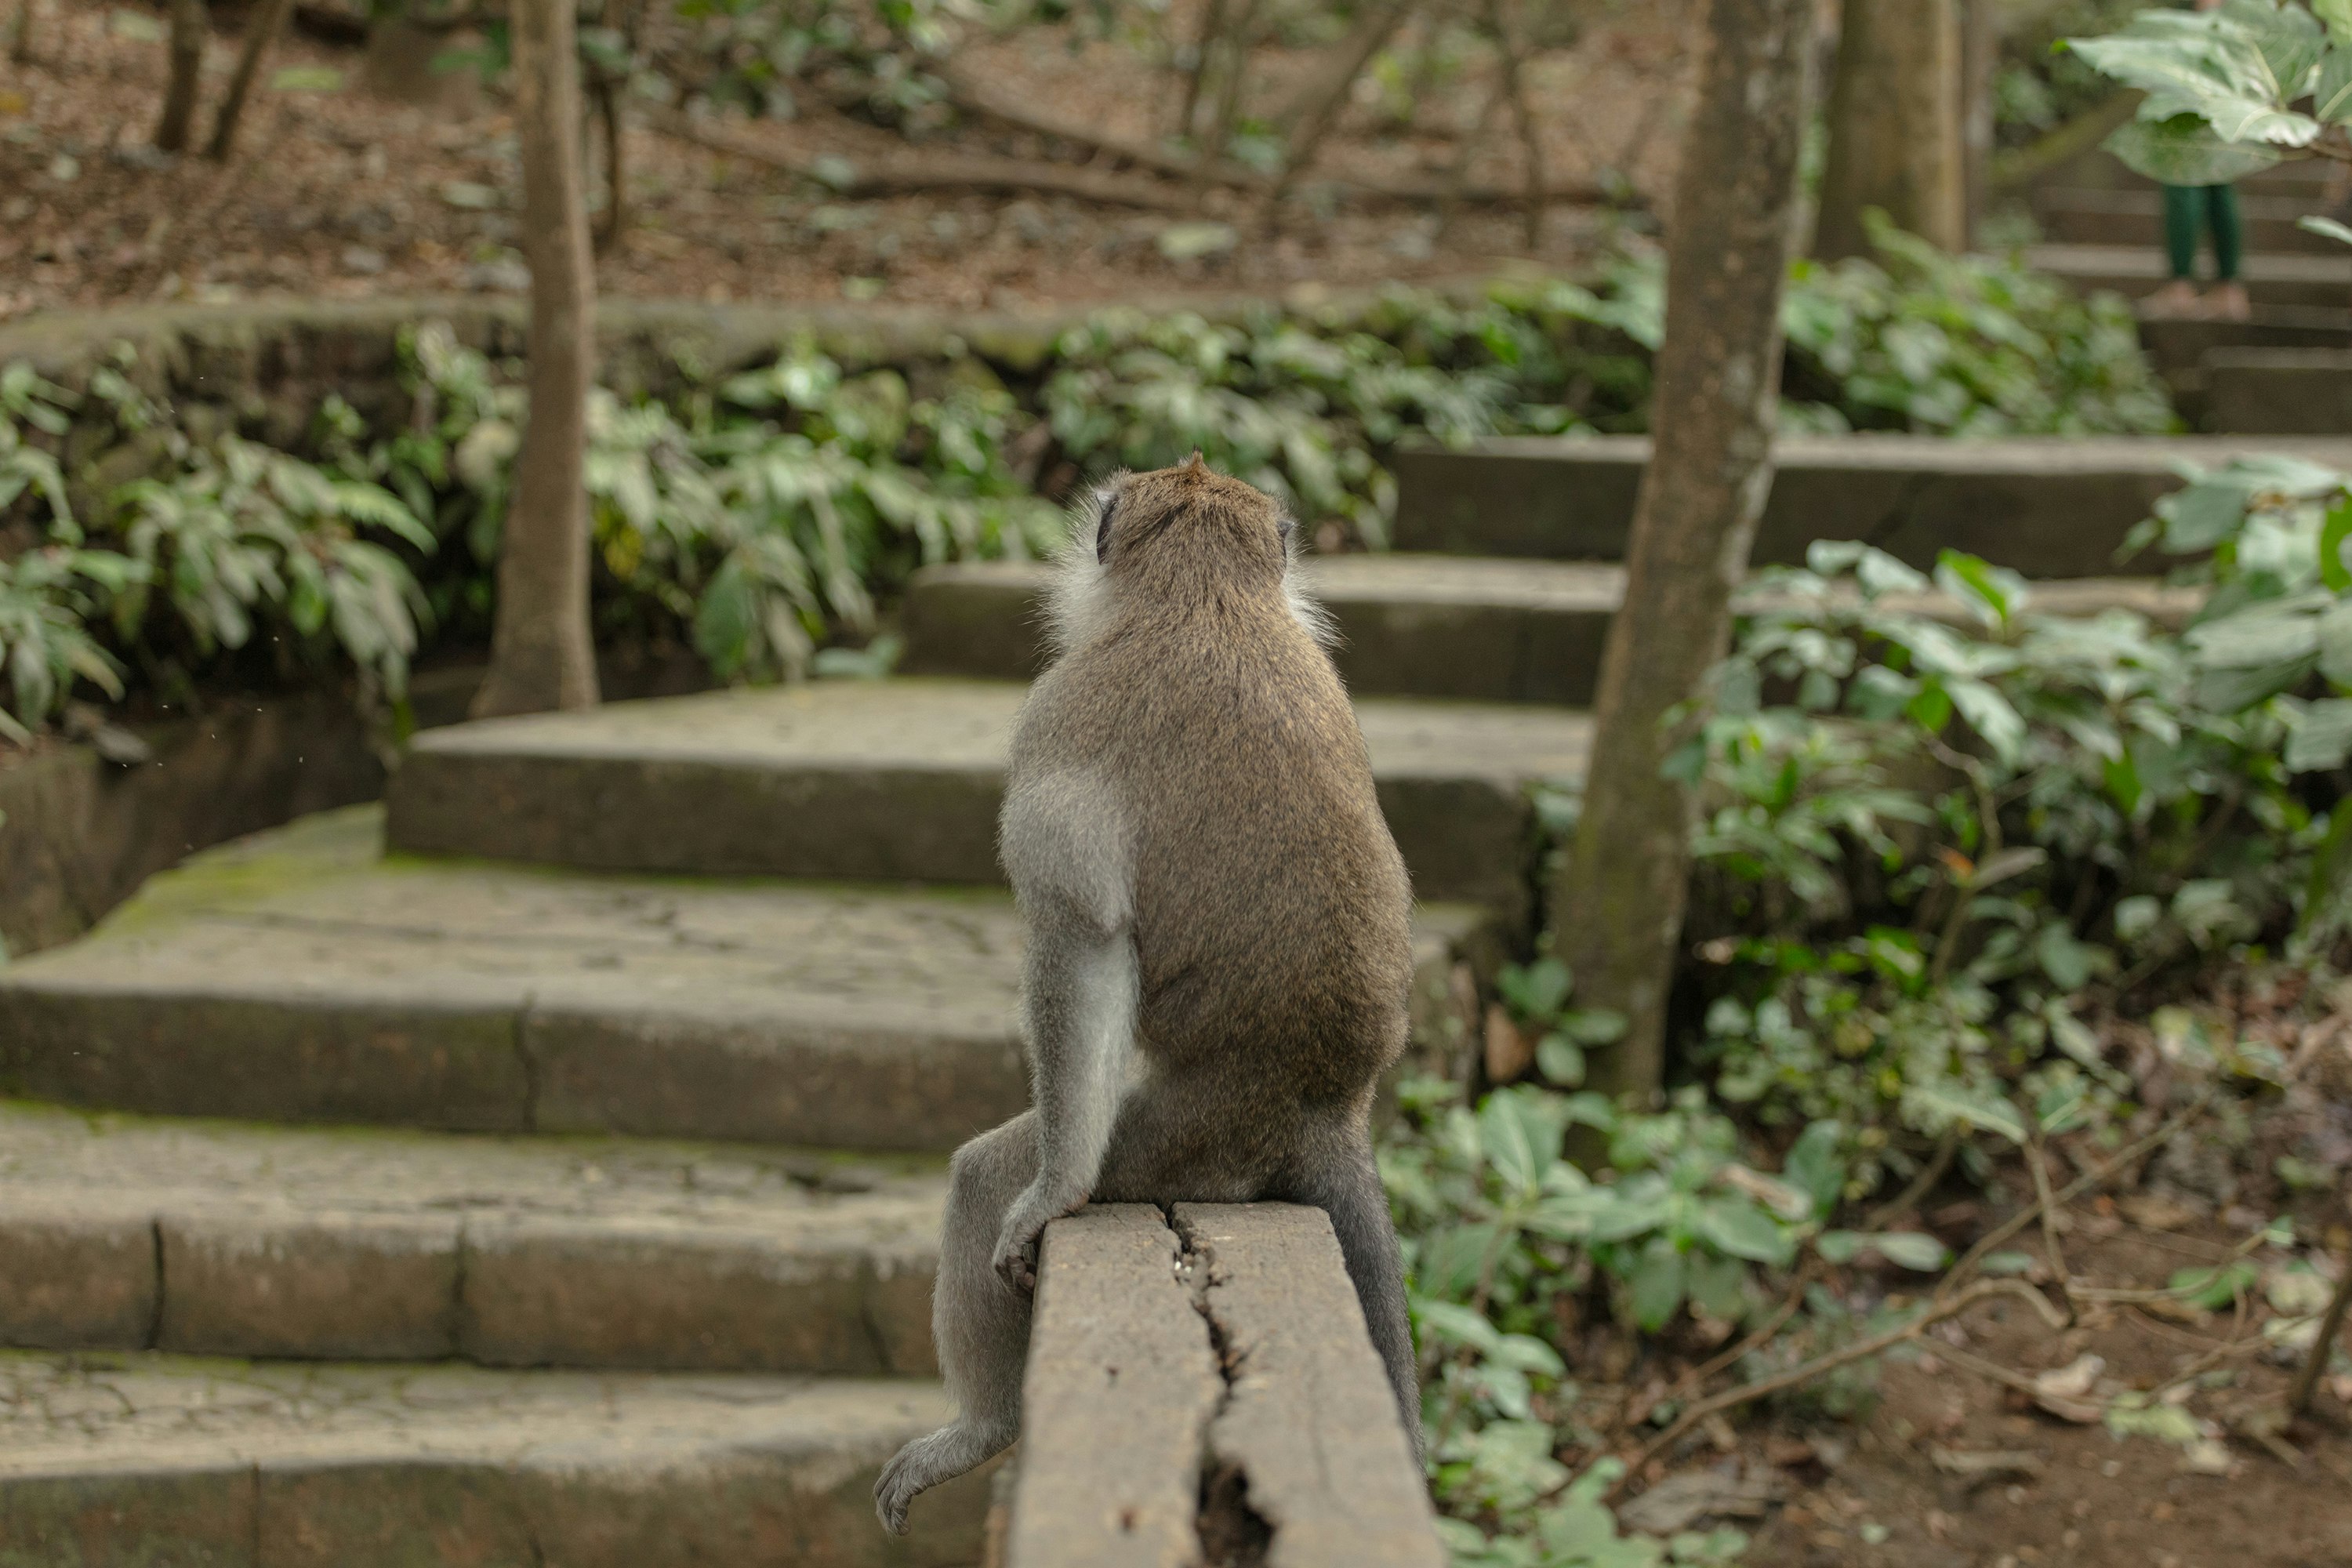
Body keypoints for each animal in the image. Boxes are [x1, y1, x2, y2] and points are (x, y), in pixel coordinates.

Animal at [875, 453, 1411, 1533]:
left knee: (981, 1173)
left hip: (1181, 1138)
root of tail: (1326, 1105)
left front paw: (1052, 1191)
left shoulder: (1057, 717)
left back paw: (984, 1427)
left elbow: (1080, 932)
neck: (1206, 595)